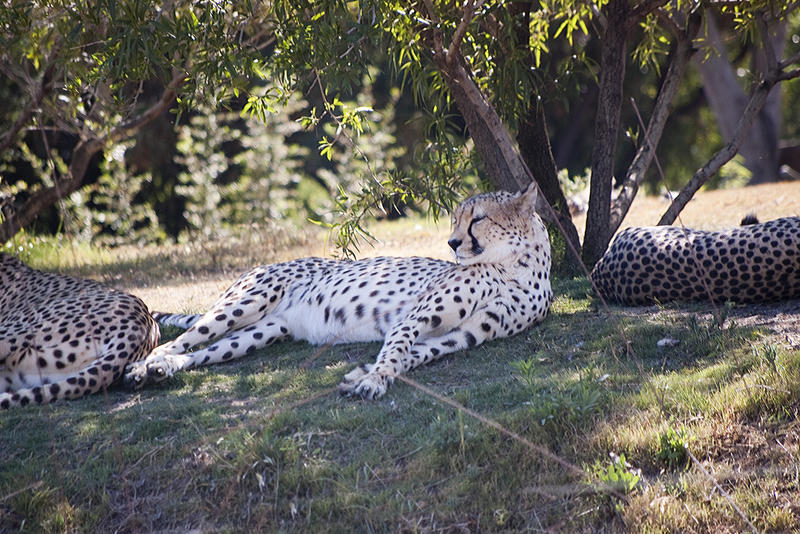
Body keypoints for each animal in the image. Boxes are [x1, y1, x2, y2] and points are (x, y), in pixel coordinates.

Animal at [125, 186, 552, 400]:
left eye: (477, 219)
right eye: (455, 220)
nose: (451, 242)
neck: (515, 266)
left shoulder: (465, 335)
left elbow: (415, 355)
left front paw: (367, 376)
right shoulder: (413, 318)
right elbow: (397, 349)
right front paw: (375, 379)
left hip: (262, 331)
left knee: (204, 353)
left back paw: (163, 370)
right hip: (246, 303)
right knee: (177, 340)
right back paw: (144, 367)